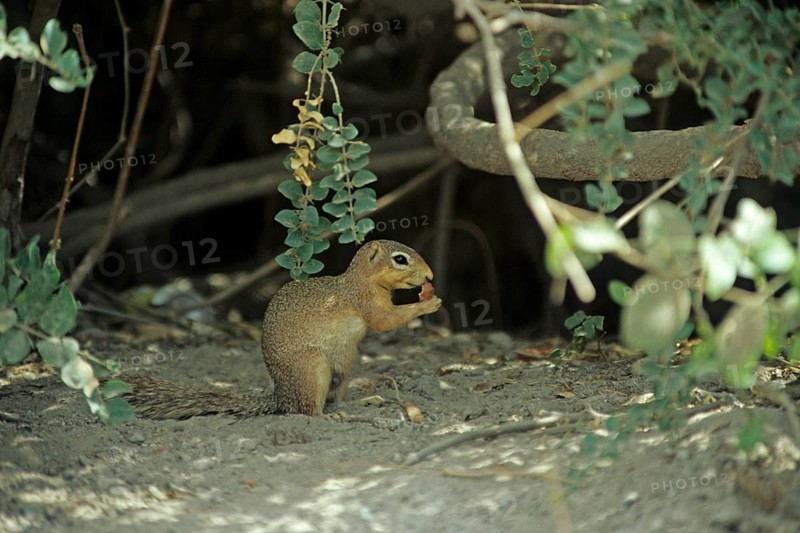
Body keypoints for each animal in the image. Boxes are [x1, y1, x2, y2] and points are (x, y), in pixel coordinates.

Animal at [122, 240, 442, 419]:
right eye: (400, 259)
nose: (430, 276)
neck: (361, 281)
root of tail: (281, 395)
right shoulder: (364, 302)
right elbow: (385, 322)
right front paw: (427, 305)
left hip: (344, 368)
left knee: (335, 400)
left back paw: (365, 400)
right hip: (312, 368)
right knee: (307, 410)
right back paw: (327, 418)